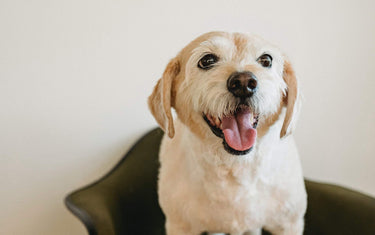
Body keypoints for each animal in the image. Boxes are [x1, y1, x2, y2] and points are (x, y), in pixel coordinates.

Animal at [148, 31, 306, 235]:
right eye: (207, 60)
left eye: (266, 59)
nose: (244, 83)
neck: (235, 167)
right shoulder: (180, 226)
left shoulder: (289, 223)